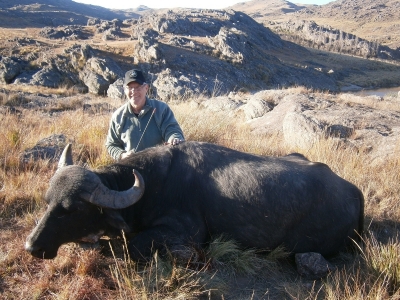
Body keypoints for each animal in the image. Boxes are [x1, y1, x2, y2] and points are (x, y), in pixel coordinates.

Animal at [24, 141, 362, 260]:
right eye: (48, 202)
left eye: (72, 210)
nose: (32, 247)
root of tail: (353, 193)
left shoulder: (186, 235)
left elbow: (130, 246)